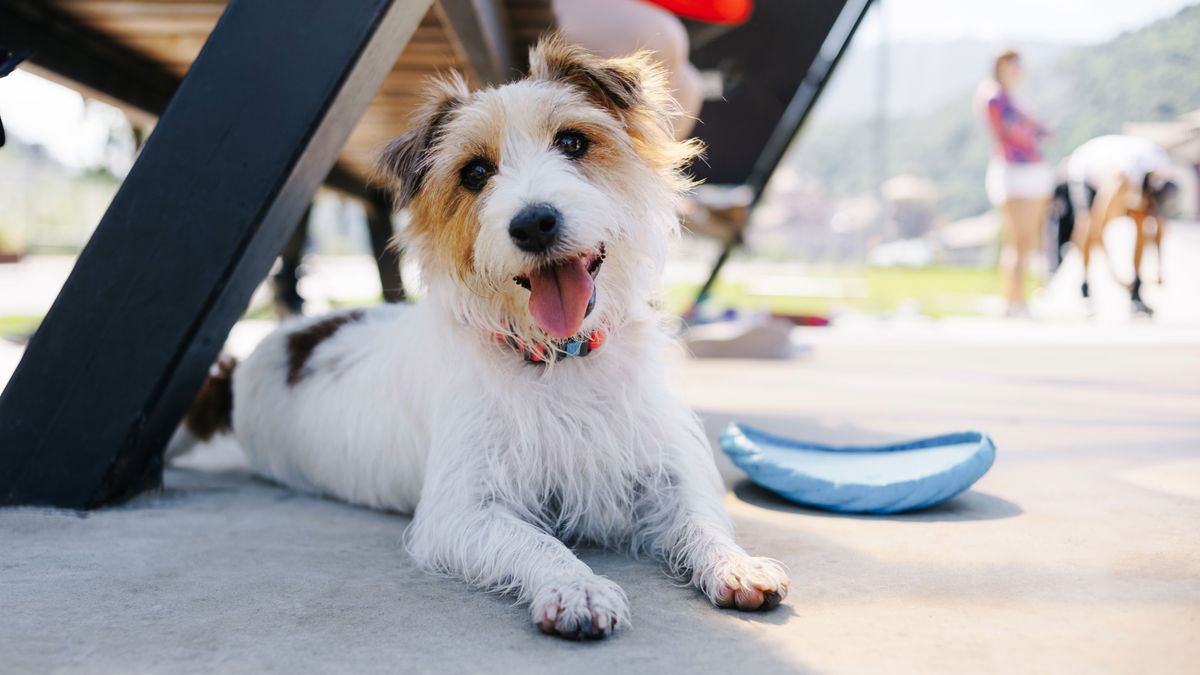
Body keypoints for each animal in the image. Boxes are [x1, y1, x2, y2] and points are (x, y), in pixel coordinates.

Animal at [169, 35, 787, 634]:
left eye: (572, 142)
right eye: (474, 173)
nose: (534, 223)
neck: (558, 359)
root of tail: (259, 357)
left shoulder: (662, 474)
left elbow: (701, 520)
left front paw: (736, 563)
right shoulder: (463, 510)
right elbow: (536, 542)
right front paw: (577, 587)